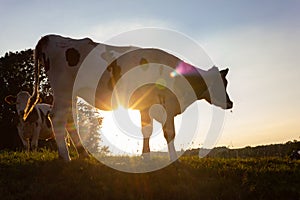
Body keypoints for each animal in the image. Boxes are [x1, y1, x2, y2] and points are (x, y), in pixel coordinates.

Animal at [24, 34, 233, 161]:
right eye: (221, 84)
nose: (230, 102)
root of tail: (51, 38)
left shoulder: (146, 106)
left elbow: (146, 130)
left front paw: (146, 157)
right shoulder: (167, 104)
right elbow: (169, 133)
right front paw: (174, 160)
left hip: (70, 95)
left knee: (69, 120)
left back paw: (82, 154)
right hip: (63, 90)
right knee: (58, 118)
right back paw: (66, 157)